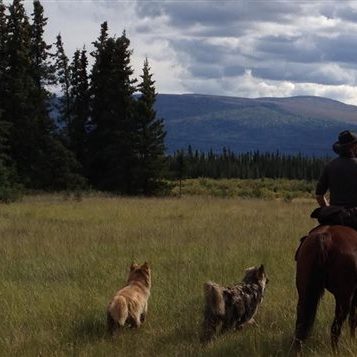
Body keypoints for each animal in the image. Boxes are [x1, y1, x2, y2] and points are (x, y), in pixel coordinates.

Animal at [294, 224, 357, 352]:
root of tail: (325, 238)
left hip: (304, 294)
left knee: (300, 325)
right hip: (343, 299)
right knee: (335, 329)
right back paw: (335, 352)